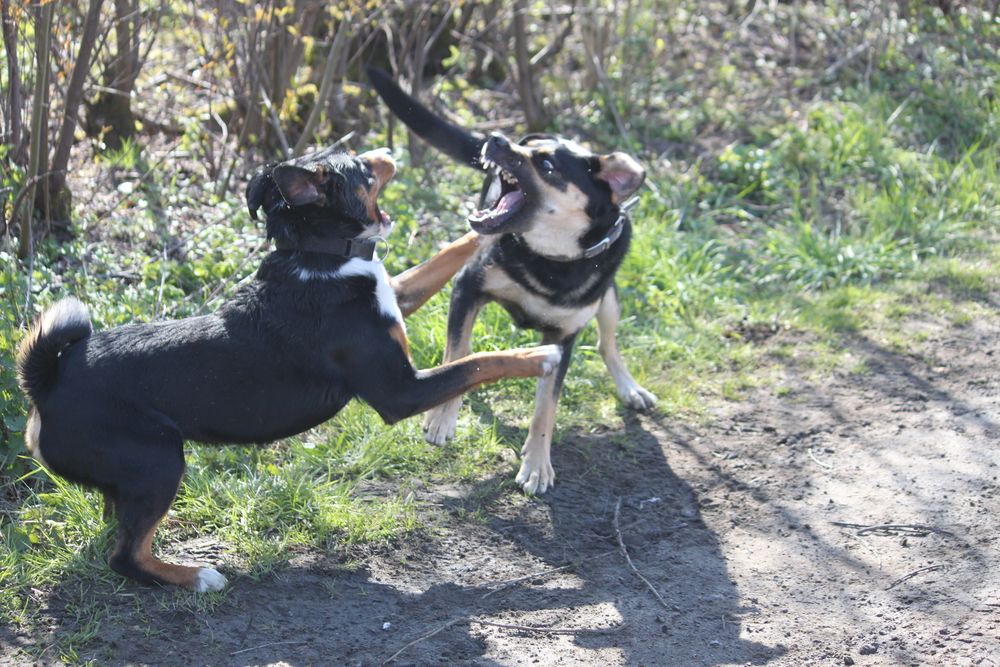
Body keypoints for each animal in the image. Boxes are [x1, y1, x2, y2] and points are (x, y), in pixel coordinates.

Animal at [15, 146, 564, 588]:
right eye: (362, 168)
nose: (387, 150)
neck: (318, 256)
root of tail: (47, 384)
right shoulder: (400, 392)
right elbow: (478, 363)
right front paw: (538, 356)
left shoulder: (399, 298)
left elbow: (446, 256)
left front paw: (493, 229)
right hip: (161, 460)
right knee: (126, 557)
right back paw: (197, 578)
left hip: (134, 472)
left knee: (119, 525)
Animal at [368, 68, 656, 496]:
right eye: (527, 147)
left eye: (548, 166)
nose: (499, 139)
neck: (549, 260)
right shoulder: (467, 288)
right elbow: (459, 353)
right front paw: (442, 418)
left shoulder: (563, 337)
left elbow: (546, 406)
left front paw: (537, 463)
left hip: (609, 299)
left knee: (608, 343)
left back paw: (629, 387)